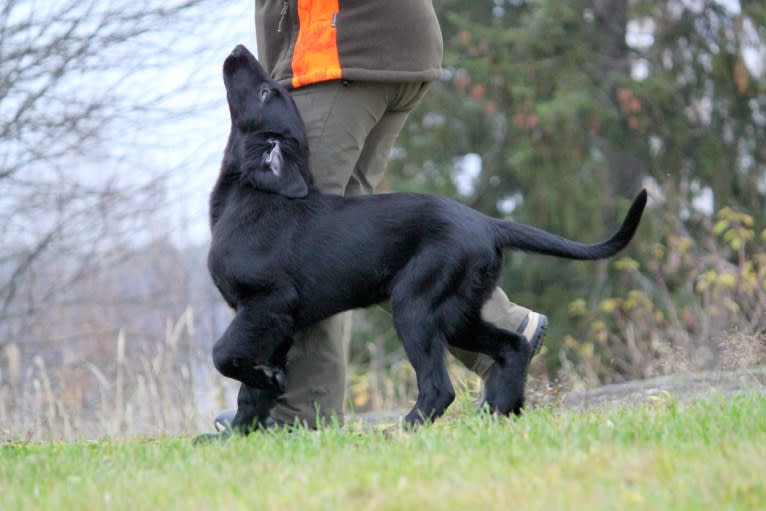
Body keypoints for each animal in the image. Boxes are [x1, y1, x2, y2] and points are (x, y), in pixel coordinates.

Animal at [206, 46, 648, 432]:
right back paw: (499, 410)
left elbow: (223, 356)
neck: (248, 195)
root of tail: (486, 222)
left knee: (439, 387)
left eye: (266, 92)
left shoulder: (268, 301)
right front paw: (243, 429)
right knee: (511, 346)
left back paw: (404, 429)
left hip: (414, 305)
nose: (239, 50)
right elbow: (250, 393)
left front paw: (264, 386)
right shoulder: (278, 323)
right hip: (457, 312)